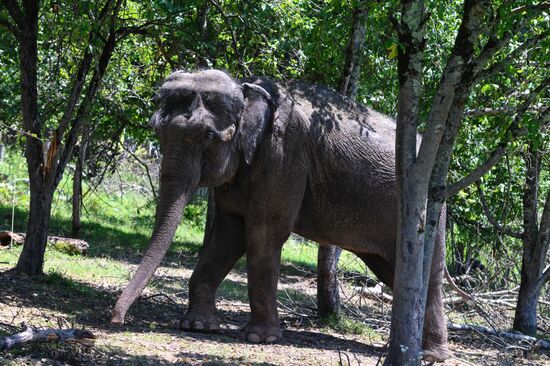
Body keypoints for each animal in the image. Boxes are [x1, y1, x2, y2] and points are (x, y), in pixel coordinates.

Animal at [112, 70, 452, 362]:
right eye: (156, 129)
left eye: (208, 135)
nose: (116, 319)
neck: (247, 89)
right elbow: (226, 237)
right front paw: (198, 325)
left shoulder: (284, 156)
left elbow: (263, 235)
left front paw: (259, 338)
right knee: (393, 272)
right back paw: (408, 348)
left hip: (428, 211)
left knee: (428, 274)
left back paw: (429, 355)